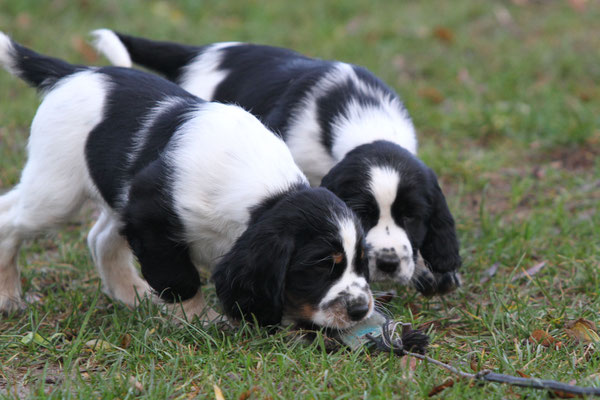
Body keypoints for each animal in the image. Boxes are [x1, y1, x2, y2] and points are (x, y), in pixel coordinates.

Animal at [0, 32, 372, 332]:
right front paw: (199, 319)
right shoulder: (151, 214)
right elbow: (179, 277)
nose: (361, 309)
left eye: (360, 261)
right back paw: (8, 295)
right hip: (58, 191)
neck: (265, 195)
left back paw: (132, 295)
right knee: (12, 221)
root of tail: (76, 73)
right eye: (321, 265)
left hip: (110, 198)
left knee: (98, 237)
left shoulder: (138, 210)